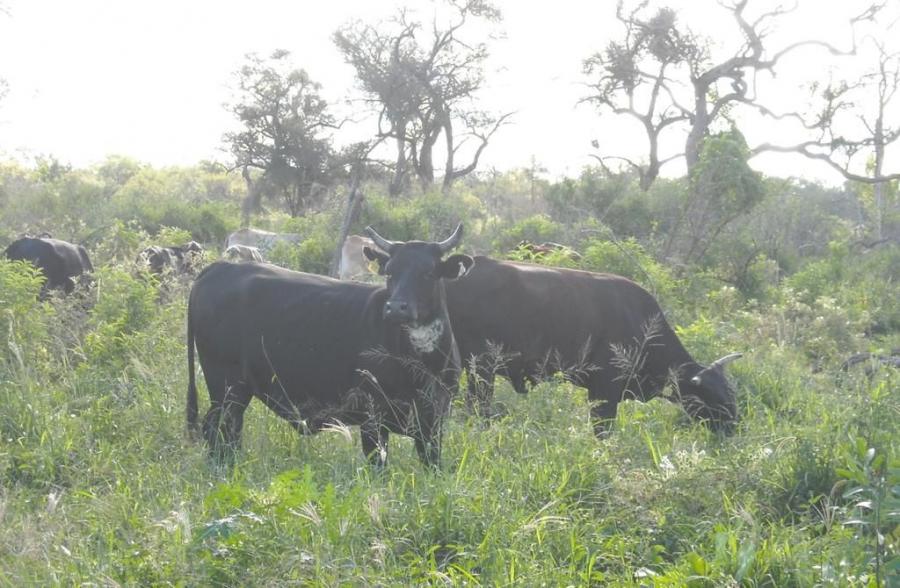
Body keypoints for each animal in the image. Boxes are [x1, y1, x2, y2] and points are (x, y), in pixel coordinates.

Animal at [186, 223, 474, 466]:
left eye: (428, 273)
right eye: (390, 272)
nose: (395, 308)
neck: (422, 360)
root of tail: (219, 267)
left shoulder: (433, 422)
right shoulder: (372, 418)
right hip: (226, 388)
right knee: (218, 430)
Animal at [444, 258, 744, 436]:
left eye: (730, 392)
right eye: (712, 398)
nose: (734, 426)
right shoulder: (604, 393)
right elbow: (603, 431)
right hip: (481, 369)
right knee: (478, 407)